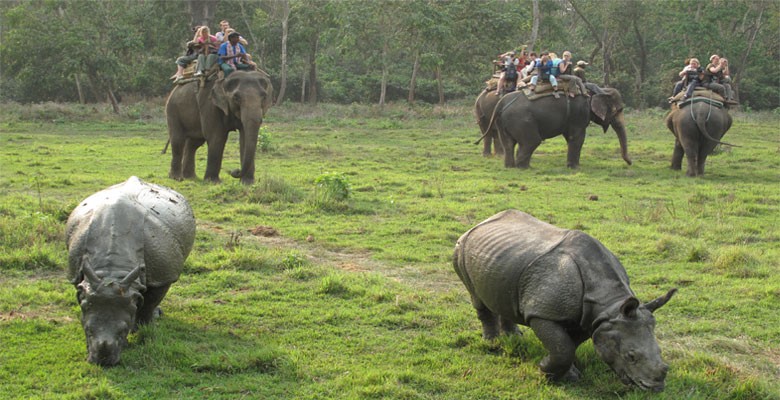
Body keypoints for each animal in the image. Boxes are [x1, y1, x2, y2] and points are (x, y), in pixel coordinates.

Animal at [490, 86, 632, 169]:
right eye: (619, 110)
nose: (630, 163)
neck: (597, 90)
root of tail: (500, 104)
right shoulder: (579, 115)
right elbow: (578, 138)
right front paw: (575, 168)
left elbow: (570, 137)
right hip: (522, 120)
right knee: (531, 142)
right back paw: (524, 168)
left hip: (503, 123)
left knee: (508, 144)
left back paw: (510, 167)